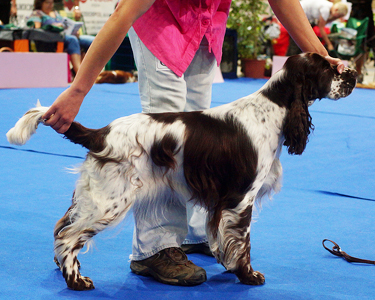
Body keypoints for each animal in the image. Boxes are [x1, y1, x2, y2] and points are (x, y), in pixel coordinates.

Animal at [6, 53, 358, 290]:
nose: (353, 74)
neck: (274, 106)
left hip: (96, 195)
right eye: (328, 68)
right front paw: (248, 275)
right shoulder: (240, 198)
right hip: (110, 201)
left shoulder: (221, 202)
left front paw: (227, 264)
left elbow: (221, 238)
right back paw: (76, 281)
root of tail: (101, 133)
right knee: (68, 236)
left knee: (62, 226)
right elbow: (242, 242)